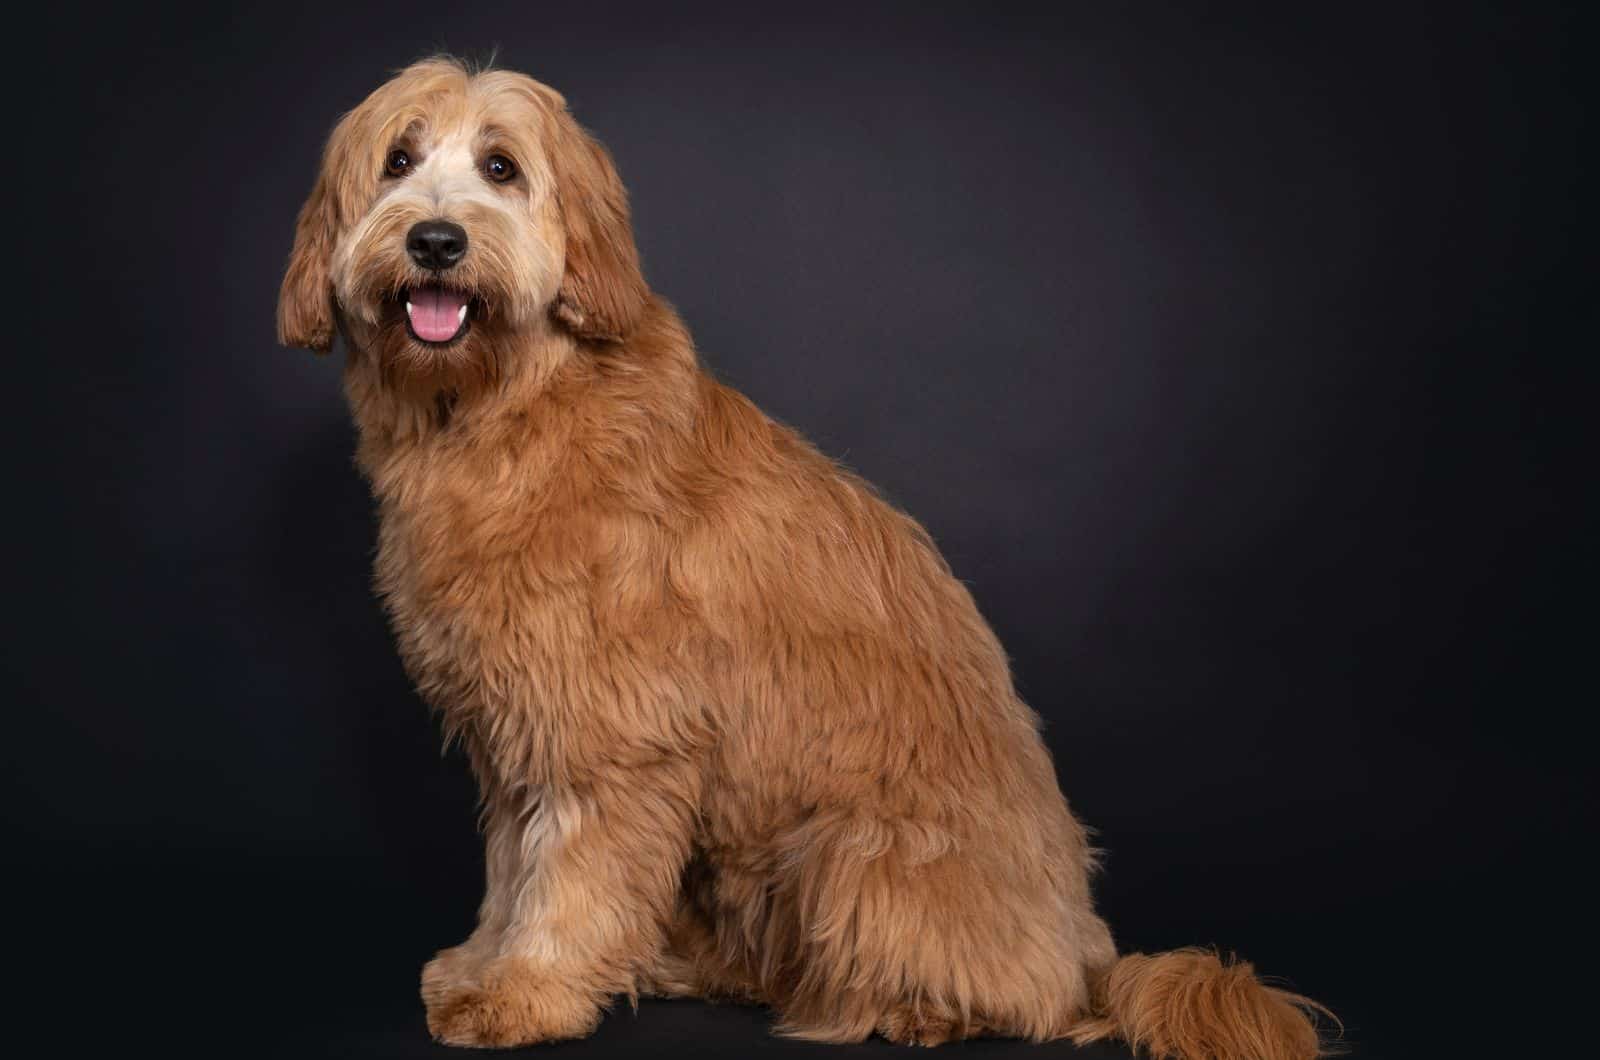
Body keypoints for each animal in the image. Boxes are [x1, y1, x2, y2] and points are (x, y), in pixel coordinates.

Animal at [275, 60, 1324, 1060]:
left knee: (1014, 993)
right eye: (398, 160)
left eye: (501, 167)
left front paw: (529, 990)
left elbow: (564, 872)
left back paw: (918, 1011)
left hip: (852, 851)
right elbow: (509, 862)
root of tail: (1090, 950)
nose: (436, 243)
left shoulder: (609, 737)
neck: (511, 405)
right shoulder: (513, 729)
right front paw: (482, 964)